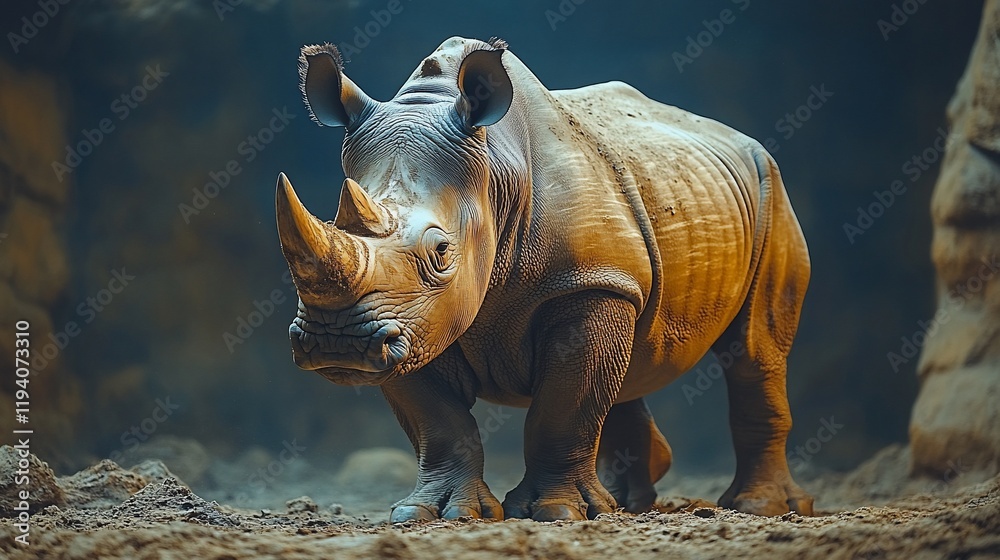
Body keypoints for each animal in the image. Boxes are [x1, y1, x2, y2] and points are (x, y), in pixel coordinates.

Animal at [276, 36, 814, 522]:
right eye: (333, 222)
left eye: (441, 251)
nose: (337, 342)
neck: (495, 171)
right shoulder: (409, 317)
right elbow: (439, 421)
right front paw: (431, 513)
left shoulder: (587, 281)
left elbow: (565, 402)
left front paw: (554, 512)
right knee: (628, 360)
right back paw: (628, 502)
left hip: (770, 190)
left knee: (753, 352)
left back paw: (760, 508)